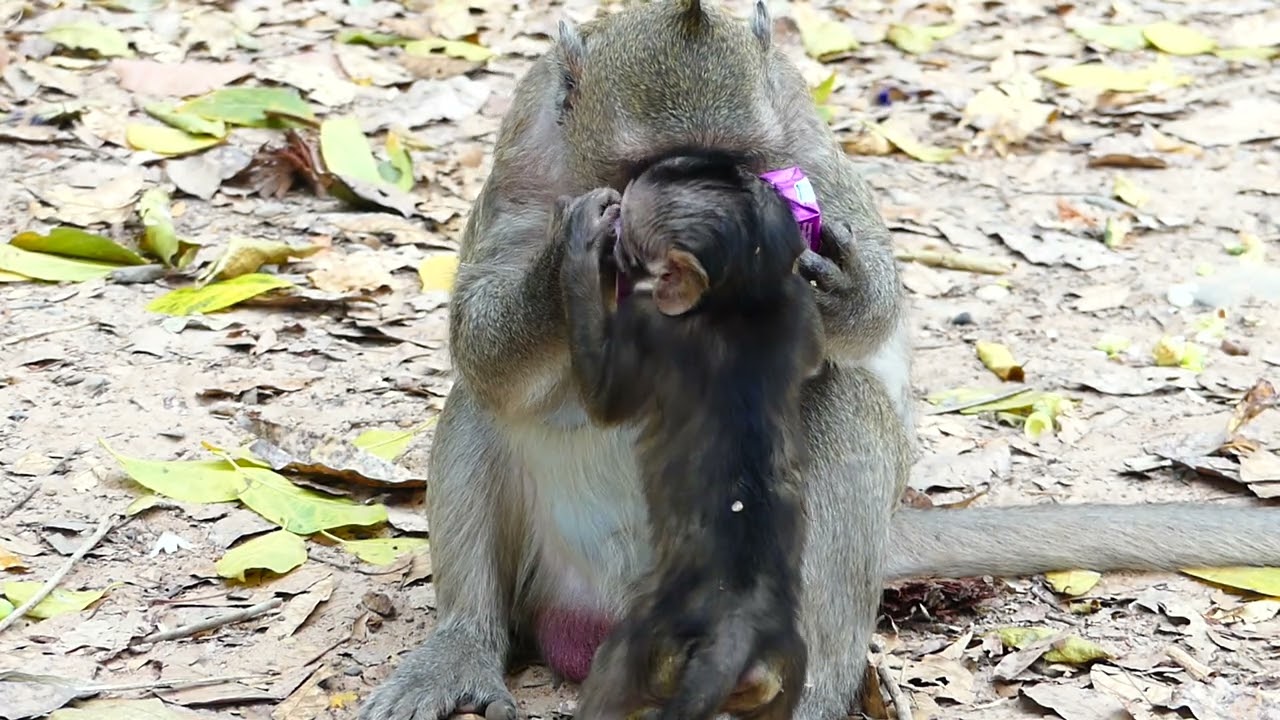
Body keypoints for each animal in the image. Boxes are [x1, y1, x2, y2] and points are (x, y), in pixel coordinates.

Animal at [558, 152, 822, 720]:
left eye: (628, 239)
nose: (614, 237)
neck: (737, 307)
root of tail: (737, 626)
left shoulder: (648, 318)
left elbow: (605, 403)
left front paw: (580, 241)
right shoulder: (795, 310)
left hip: (650, 642)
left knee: (614, 671)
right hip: (786, 664)